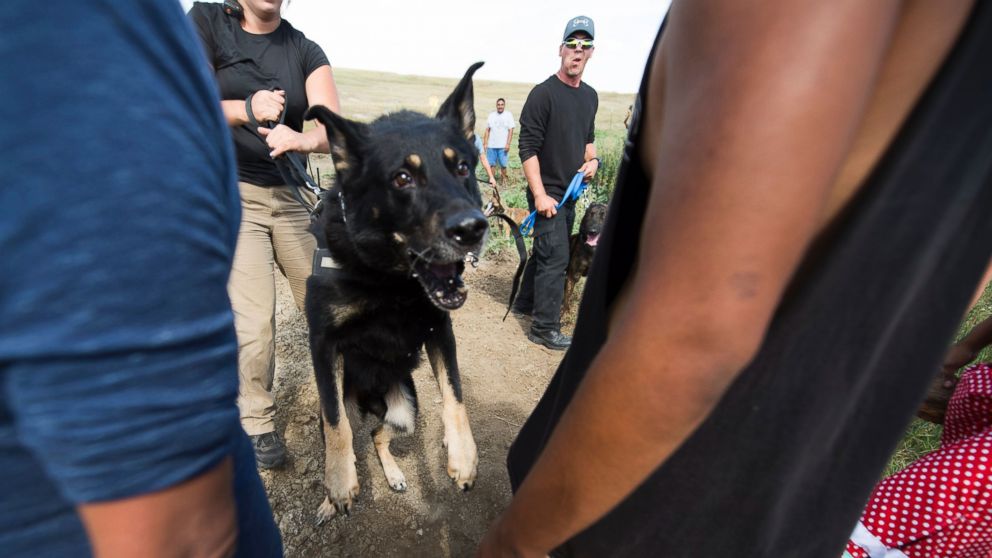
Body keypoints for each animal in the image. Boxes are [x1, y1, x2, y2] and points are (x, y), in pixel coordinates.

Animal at [304, 63, 486, 524]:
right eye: (402, 178)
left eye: (463, 168)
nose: (473, 228)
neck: (390, 280)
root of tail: (372, 400)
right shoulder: (323, 343)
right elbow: (335, 425)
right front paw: (338, 485)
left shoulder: (440, 330)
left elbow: (456, 394)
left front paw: (463, 456)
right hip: (350, 398)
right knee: (348, 428)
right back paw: (329, 498)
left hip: (406, 410)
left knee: (376, 435)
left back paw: (396, 475)